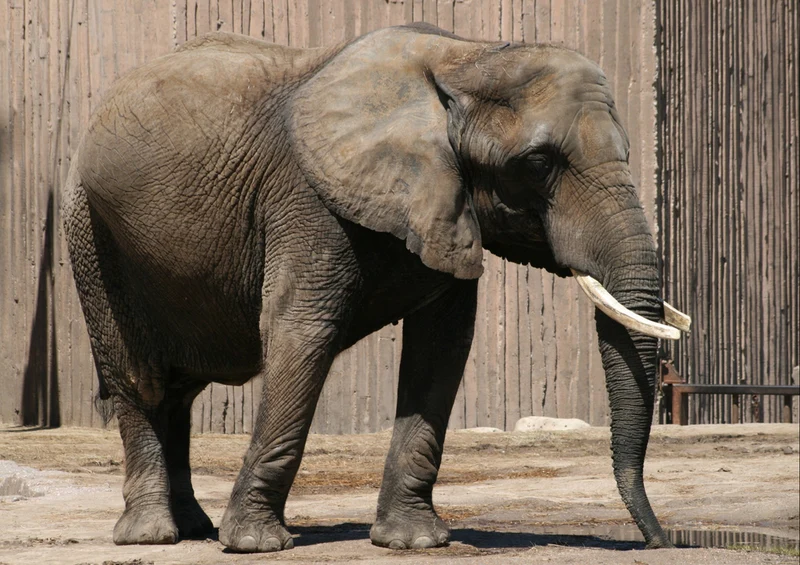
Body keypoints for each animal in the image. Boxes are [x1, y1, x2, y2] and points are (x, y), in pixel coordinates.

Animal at [63, 23, 690, 552]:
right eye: (537, 163)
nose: (659, 541)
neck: (466, 56)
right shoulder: (306, 203)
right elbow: (302, 333)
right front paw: (256, 545)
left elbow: (442, 347)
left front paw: (414, 543)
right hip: (91, 236)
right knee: (139, 381)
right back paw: (151, 536)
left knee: (178, 392)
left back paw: (194, 528)